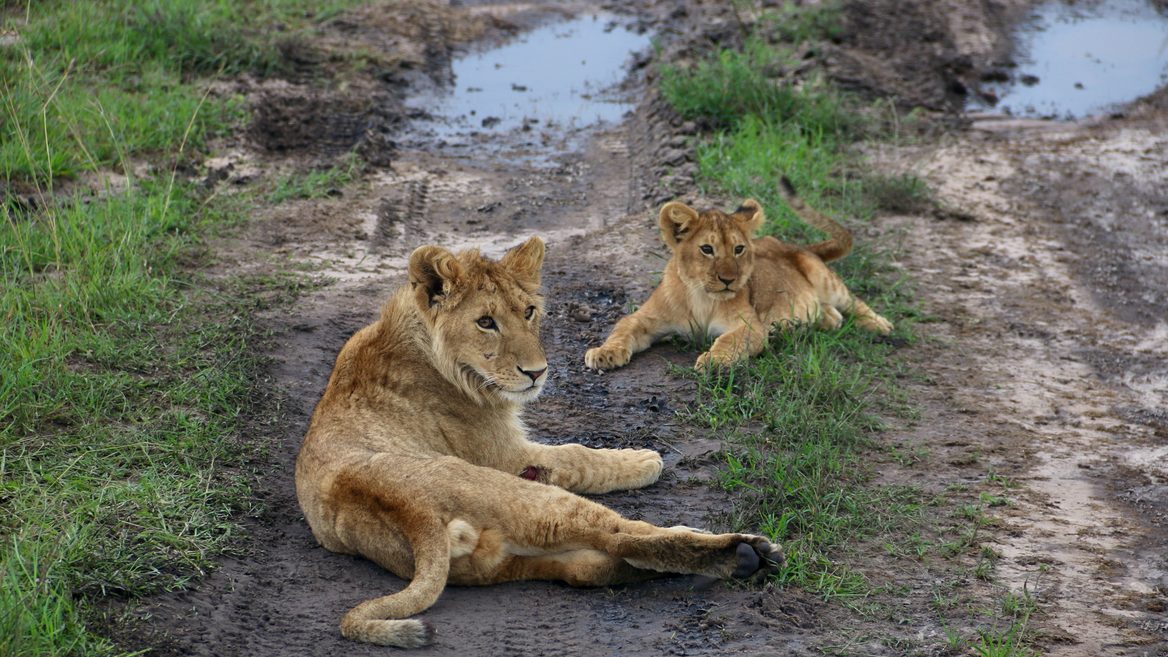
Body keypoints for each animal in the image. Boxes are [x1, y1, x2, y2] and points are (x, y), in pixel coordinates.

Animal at [296, 234, 780, 645]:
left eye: (528, 312)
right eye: (485, 322)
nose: (537, 373)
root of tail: (411, 514)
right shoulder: (505, 454)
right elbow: (577, 454)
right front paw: (642, 460)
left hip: (506, 561)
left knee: (589, 568)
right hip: (525, 496)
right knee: (622, 537)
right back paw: (743, 552)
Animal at [584, 175, 892, 369]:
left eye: (739, 249)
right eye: (707, 249)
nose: (728, 280)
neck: (702, 297)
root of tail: (793, 244)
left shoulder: (751, 325)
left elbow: (729, 339)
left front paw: (714, 361)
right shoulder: (646, 318)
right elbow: (622, 328)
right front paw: (603, 354)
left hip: (822, 276)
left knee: (853, 301)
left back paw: (880, 325)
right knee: (832, 313)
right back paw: (818, 322)